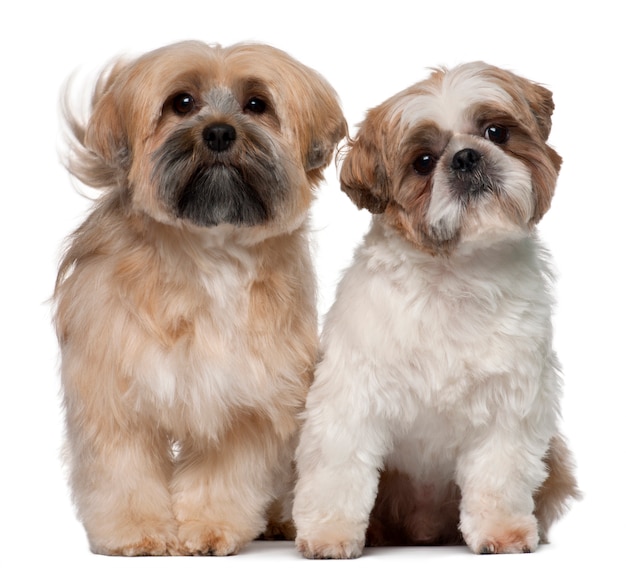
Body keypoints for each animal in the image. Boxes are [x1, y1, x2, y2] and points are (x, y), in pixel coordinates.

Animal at [54, 42, 346, 556]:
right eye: (182, 103)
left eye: (257, 104)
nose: (219, 133)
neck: (210, 254)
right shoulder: (113, 392)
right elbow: (123, 471)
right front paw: (138, 532)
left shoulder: (246, 396)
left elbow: (223, 475)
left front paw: (209, 529)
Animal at [292, 61, 576, 556]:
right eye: (423, 162)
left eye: (496, 132)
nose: (465, 157)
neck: (454, 276)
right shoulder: (352, 397)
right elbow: (338, 470)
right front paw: (329, 533)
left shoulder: (509, 406)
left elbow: (499, 474)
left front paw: (501, 530)